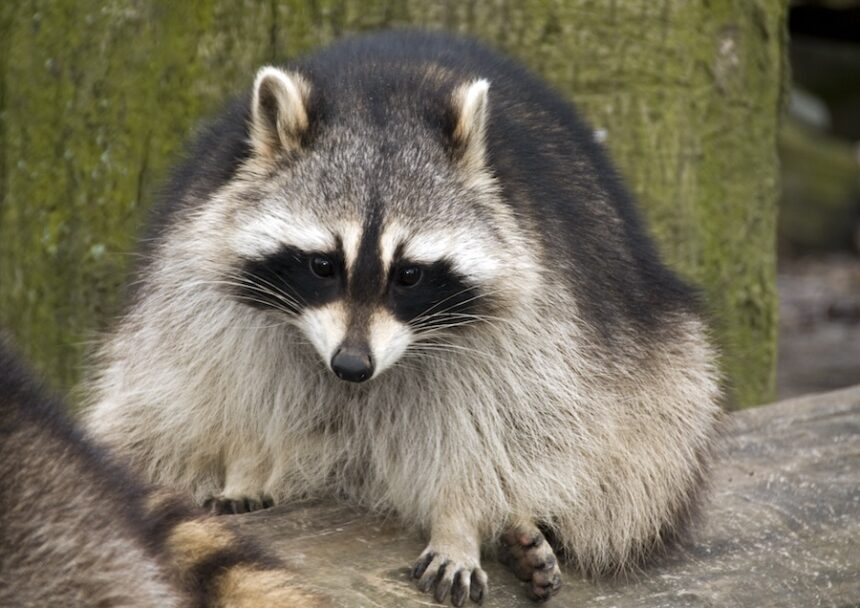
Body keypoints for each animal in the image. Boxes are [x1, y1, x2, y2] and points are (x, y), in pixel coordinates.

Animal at [84, 30, 722, 605]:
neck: (383, 96)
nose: (351, 366)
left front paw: (461, 521)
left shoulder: (537, 316)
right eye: (322, 265)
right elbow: (229, 383)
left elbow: (504, 427)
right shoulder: (200, 269)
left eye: (409, 275)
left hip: (657, 375)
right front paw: (246, 463)